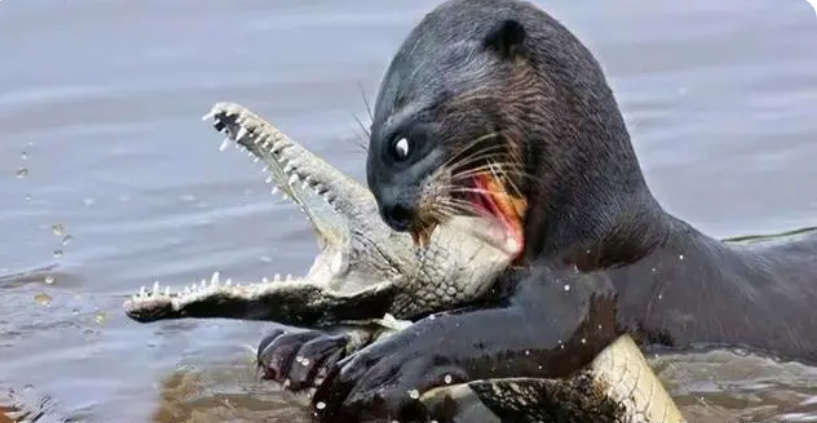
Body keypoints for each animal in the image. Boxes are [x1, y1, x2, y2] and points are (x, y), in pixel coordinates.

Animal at [256, 0, 816, 422]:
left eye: (401, 144)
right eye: (369, 153)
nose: (392, 209)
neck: (593, 228)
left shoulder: (586, 285)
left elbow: (523, 332)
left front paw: (389, 362)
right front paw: (306, 347)